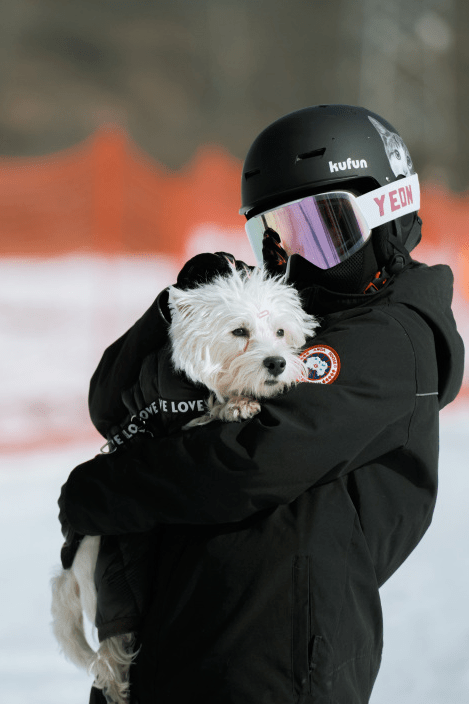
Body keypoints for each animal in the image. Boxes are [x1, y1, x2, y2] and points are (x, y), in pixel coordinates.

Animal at [50, 266, 318, 704]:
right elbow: (204, 414)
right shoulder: (171, 420)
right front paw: (234, 405)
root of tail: (71, 569)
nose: (278, 363)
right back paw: (118, 683)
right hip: (115, 575)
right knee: (110, 651)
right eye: (239, 331)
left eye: (281, 331)